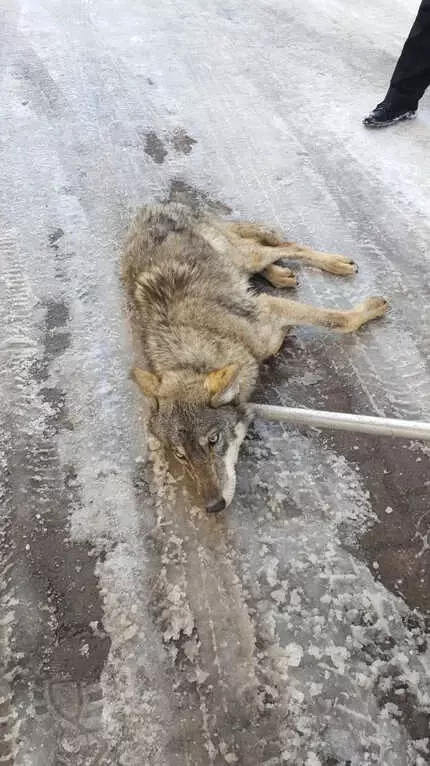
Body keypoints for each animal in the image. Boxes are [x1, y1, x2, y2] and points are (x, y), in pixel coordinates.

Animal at [119, 204, 388, 512]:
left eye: (213, 440)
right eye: (181, 455)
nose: (213, 506)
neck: (195, 351)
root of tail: (156, 206)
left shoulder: (267, 307)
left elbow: (337, 320)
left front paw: (367, 309)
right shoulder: (262, 322)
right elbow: (272, 343)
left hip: (246, 255)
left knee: (286, 246)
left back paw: (335, 263)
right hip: (238, 258)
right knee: (266, 255)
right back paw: (280, 275)